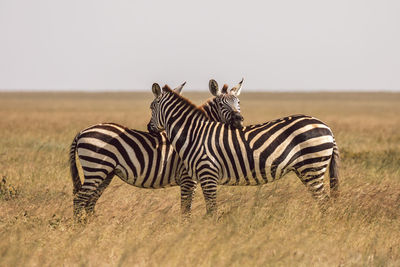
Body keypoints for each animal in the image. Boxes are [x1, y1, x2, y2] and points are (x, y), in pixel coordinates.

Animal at [69, 79, 244, 222]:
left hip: (105, 173)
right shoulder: (188, 178)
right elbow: (185, 209)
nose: (239, 121)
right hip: (95, 168)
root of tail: (82, 131)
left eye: (239, 102)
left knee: (90, 202)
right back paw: (79, 230)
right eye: (221, 104)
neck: (194, 132)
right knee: (79, 200)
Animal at [148, 85, 340, 216]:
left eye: (151, 107)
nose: (149, 128)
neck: (193, 133)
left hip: (312, 166)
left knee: (325, 203)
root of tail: (327, 127)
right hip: (306, 169)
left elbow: (211, 211)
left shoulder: (207, 173)